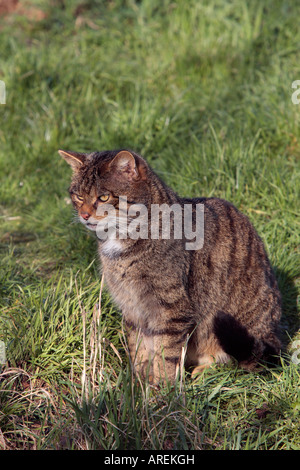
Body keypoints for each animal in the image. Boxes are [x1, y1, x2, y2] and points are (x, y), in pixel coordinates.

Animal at [58, 149, 282, 384]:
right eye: (78, 196)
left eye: (103, 197)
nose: (84, 215)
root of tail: (274, 334)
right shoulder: (132, 308)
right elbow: (139, 348)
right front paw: (139, 382)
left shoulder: (171, 309)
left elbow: (165, 355)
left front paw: (162, 388)